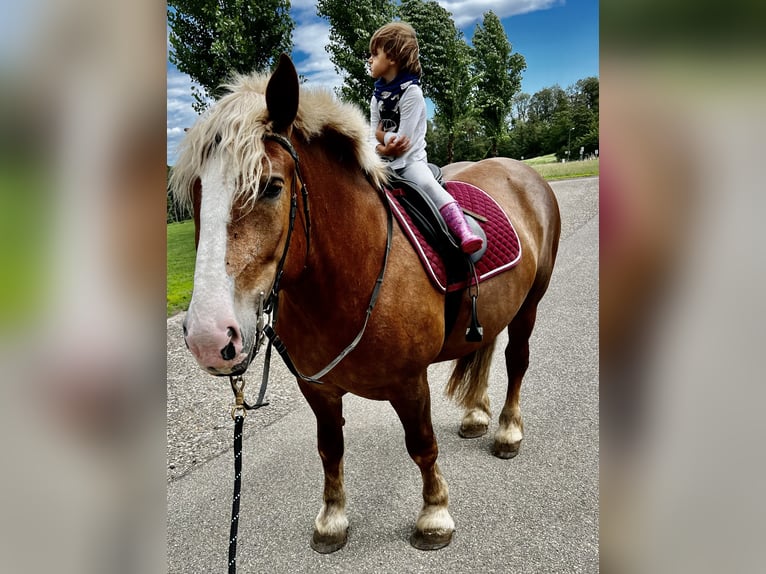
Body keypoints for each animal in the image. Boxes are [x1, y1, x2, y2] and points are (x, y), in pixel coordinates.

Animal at [171, 56, 560, 556]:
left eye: (272, 187)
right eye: (196, 195)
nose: (208, 336)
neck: (350, 276)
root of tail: (520, 170)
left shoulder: (409, 383)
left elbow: (422, 445)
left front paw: (434, 514)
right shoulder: (318, 389)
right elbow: (330, 448)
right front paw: (332, 519)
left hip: (531, 303)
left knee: (516, 359)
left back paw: (508, 429)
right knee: (486, 344)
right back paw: (476, 414)